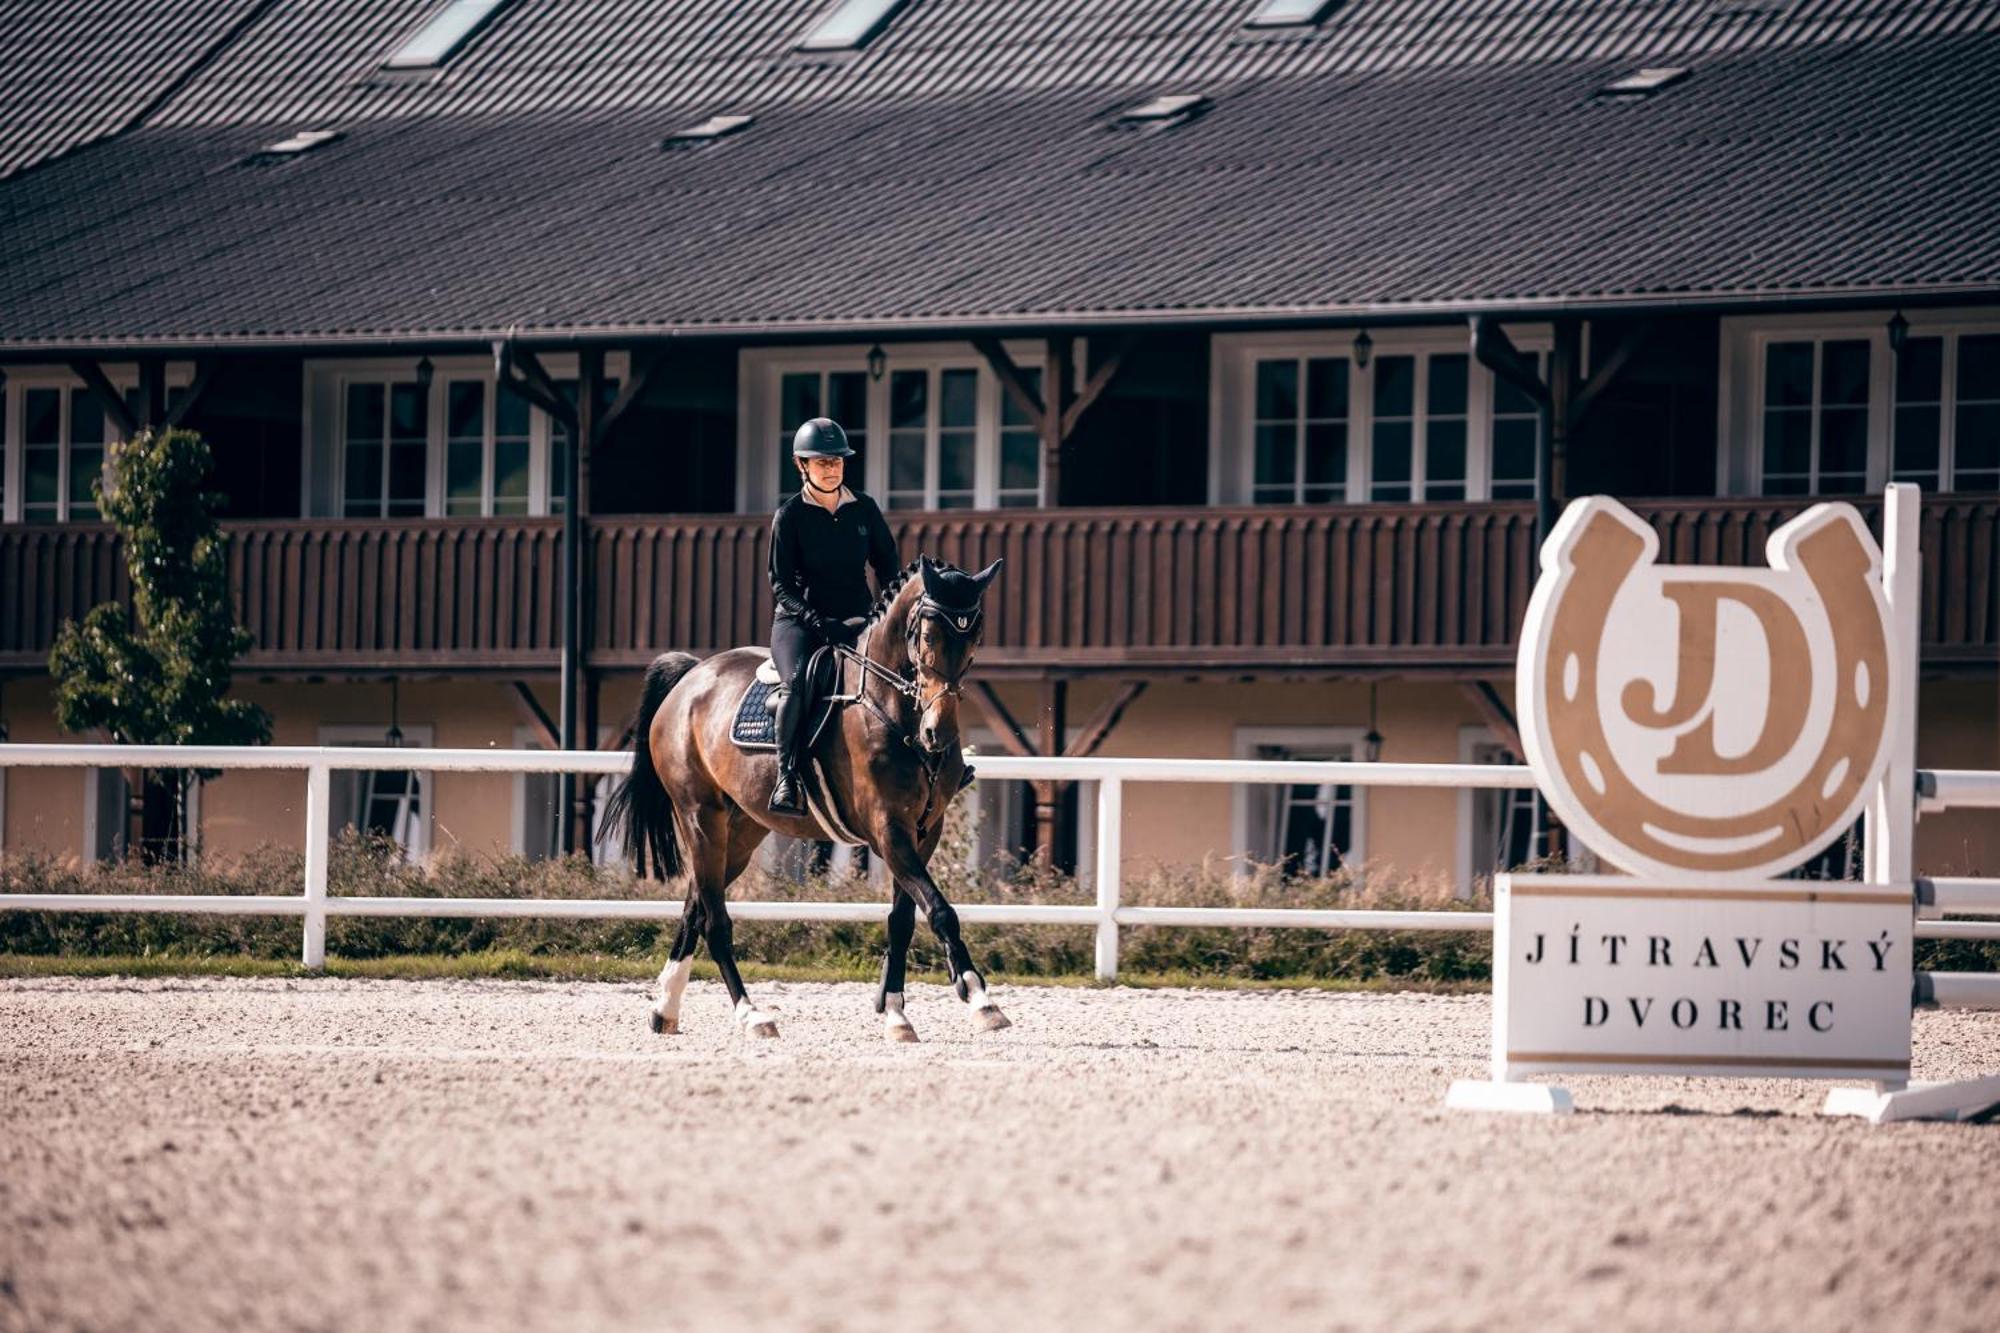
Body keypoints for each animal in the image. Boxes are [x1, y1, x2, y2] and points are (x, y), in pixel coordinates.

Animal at [600, 548, 1008, 1040]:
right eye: (927, 635)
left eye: (975, 636)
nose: (939, 734)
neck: (894, 710)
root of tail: (690, 678)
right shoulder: (888, 830)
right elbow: (941, 911)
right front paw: (981, 999)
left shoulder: (924, 831)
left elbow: (903, 919)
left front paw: (895, 1011)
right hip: (700, 818)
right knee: (714, 920)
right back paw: (752, 1014)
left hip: (740, 833)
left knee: (694, 907)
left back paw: (666, 1008)